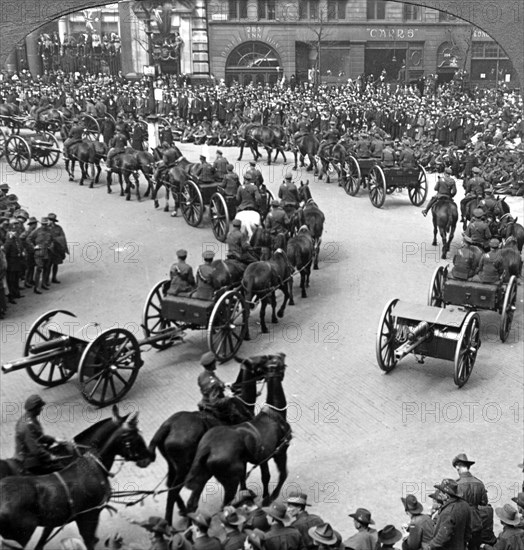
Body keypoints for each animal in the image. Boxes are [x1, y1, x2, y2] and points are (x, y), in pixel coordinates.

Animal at [0, 406, 151, 550]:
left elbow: (43, 540)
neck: (93, 463)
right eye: (133, 436)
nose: (149, 457)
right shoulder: (89, 515)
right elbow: (89, 540)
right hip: (20, 536)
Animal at [147, 356, 272, 524]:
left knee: (171, 487)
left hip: (173, 467)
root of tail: (168, 425)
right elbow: (243, 474)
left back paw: (181, 511)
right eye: (259, 363)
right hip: (184, 469)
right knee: (174, 492)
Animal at [184, 354, 290, 512]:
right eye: (261, 362)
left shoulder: (253, 459)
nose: (281, 354)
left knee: (192, 503)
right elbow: (277, 475)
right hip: (227, 481)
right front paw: (266, 497)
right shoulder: (278, 453)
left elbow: (254, 477)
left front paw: (249, 494)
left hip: (203, 475)